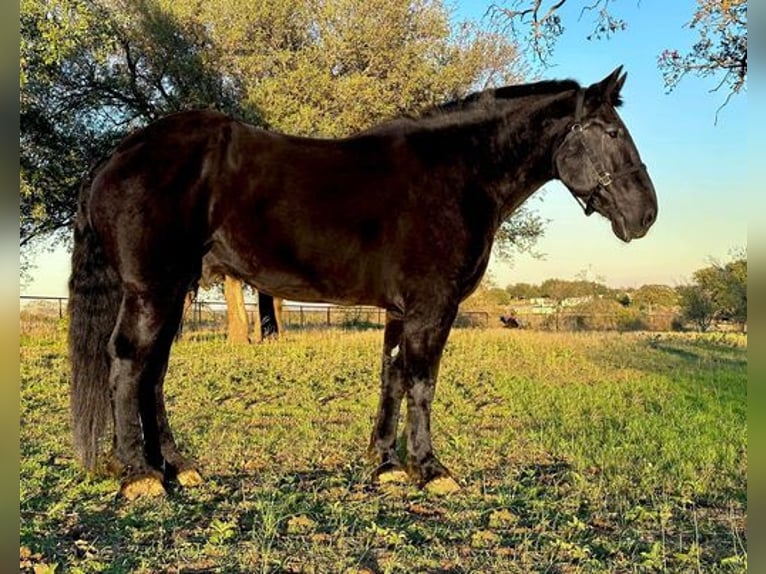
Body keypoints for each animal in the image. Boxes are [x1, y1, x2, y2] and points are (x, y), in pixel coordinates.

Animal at [69, 67, 656, 500]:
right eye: (611, 133)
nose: (645, 215)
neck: (458, 174)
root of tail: (120, 153)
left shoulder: (401, 311)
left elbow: (392, 376)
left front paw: (388, 465)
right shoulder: (432, 307)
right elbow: (422, 382)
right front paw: (431, 469)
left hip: (170, 291)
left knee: (153, 373)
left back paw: (176, 466)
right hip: (152, 290)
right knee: (128, 363)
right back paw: (139, 475)